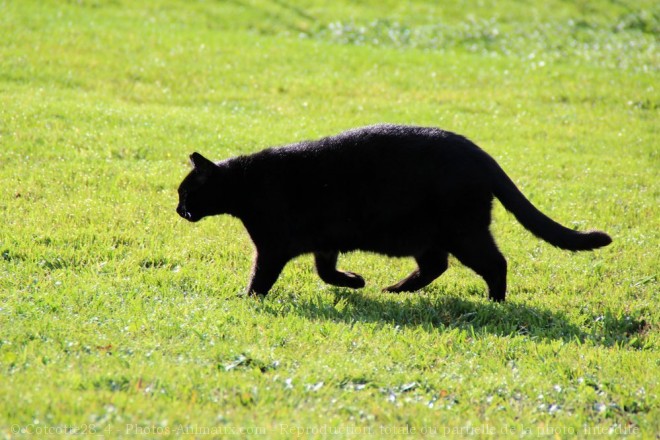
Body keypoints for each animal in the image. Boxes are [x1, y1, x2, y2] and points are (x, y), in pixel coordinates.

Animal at [177, 124, 612, 302]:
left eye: (184, 191)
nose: (178, 209)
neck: (245, 185)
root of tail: (481, 154)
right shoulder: (325, 241)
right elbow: (326, 271)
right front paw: (355, 282)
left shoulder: (272, 246)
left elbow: (260, 278)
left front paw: (247, 299)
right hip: (428, 236)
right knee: (437, 266)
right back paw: (395, 289)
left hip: (463, 231)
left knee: (495, 263)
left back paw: (496, 303)